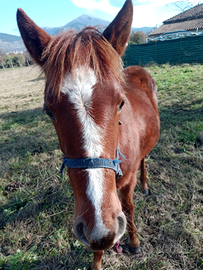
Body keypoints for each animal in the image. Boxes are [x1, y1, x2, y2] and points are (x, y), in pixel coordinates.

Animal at [17, 1, 160, 268]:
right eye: (49, 111)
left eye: (120, 103)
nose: (100, 227)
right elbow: (98, 242)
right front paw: (97, 262)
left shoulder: (126, 185)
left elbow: (128, 207)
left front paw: (134, 243)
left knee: (144, 161)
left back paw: (146, 185)